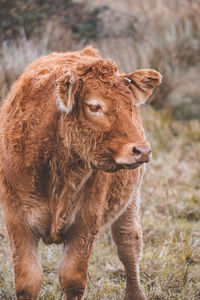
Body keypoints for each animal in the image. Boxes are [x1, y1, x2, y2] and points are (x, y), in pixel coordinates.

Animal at [0, 45, 161, 298]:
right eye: (94, 106)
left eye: (132, 106)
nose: (142, 150)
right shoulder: (16, 219)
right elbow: (28, 280)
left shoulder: (86, 220)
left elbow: (72, 278)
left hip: (130, 202)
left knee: (128, 245)